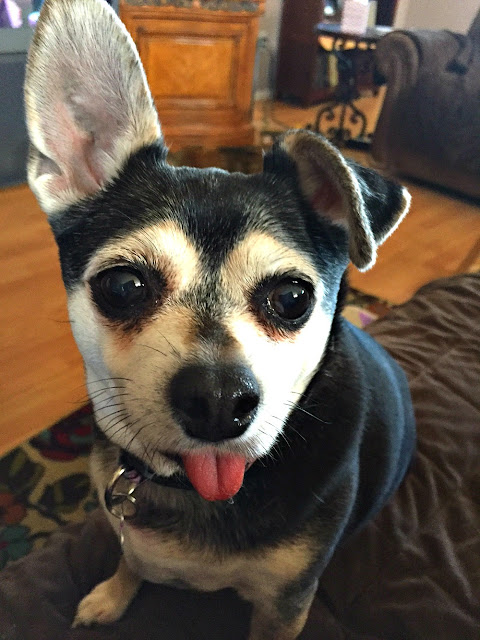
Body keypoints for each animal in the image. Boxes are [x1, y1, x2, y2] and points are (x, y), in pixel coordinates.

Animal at [24, 2, 416, 636]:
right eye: (123, 286)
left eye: (292, 297)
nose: (216, 400)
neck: (192, 485)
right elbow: (130, 555)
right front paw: (112, 595)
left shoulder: (286, 603)